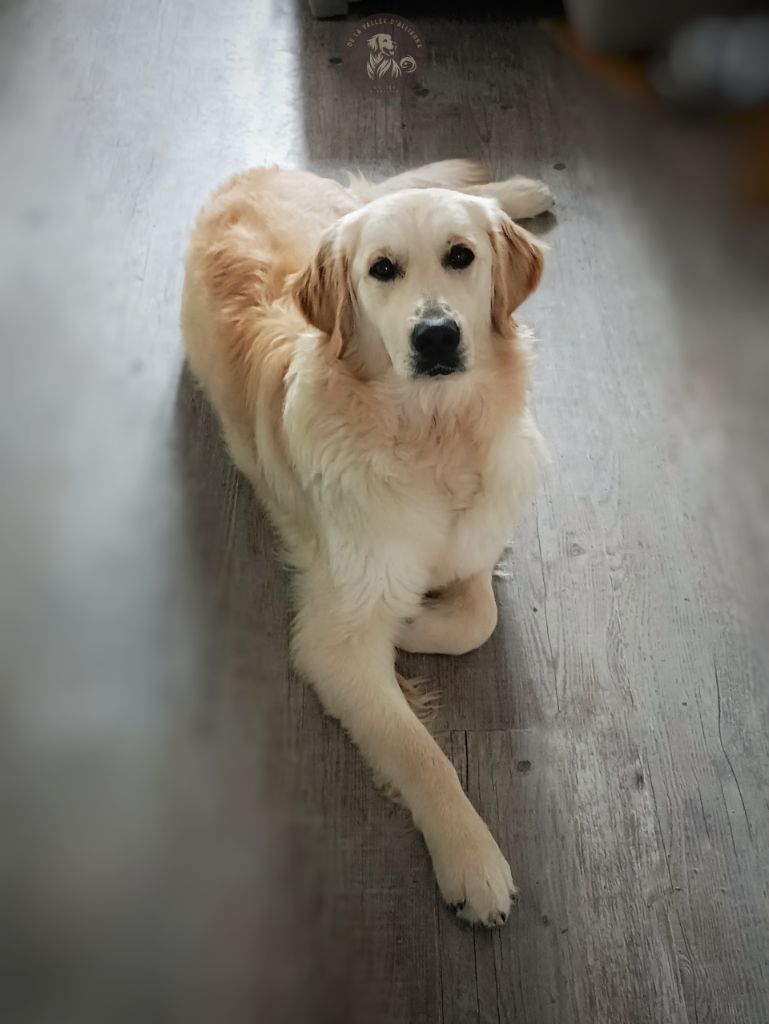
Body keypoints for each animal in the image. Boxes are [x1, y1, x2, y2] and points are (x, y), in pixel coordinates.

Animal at [181, 160, 552, 927]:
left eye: (461, 256)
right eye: (382, 269)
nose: (436, 336)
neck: (433, 435)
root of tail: (248, 170)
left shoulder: (478, 534)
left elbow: (477, 617)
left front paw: (413, 621)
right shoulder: (335, 641)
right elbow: (421, 754)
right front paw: (471, 858)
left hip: (339, 206)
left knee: (396, 186)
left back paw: (523, 193)